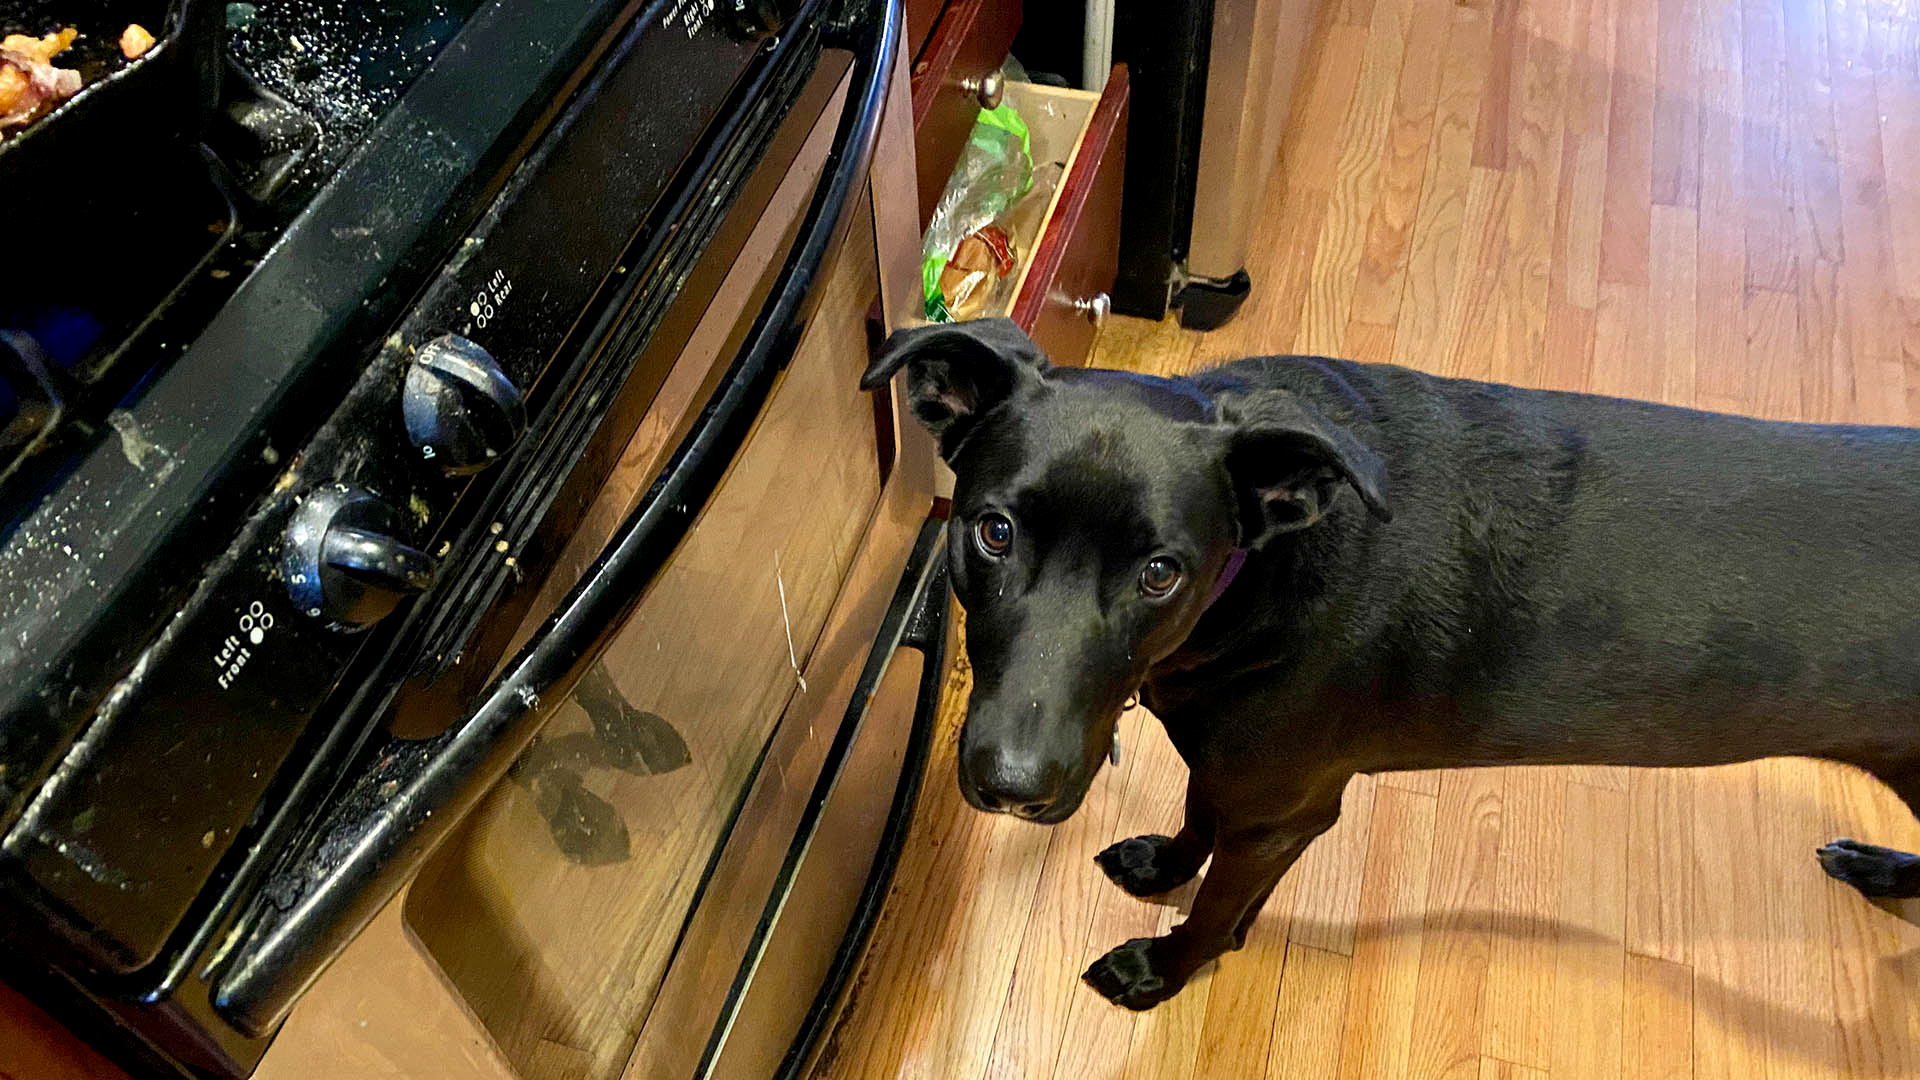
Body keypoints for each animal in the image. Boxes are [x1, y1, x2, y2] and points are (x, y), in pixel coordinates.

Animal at [860, 317, 1920, 1006]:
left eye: (1161, 573)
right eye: (993, 532)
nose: (1013, 787)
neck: (1269, 554)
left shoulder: (1287, 807)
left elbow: (1216, 909)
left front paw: (1162, 970)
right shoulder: (1241, 764)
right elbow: (1200, 817)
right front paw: (1166, 862)